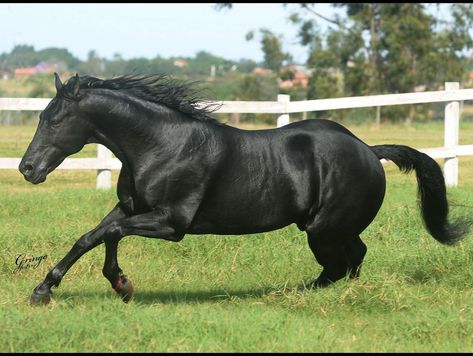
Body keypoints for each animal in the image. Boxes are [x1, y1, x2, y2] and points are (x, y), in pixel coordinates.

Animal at [19, 73, 468, 306]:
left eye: (54, 119)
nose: (27, 169)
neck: (160, 145)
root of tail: (370, 151)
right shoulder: (129, 209)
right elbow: (91, 236)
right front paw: (47, 290)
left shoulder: (171, 223)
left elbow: (107, 234)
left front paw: (120, 284)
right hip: (333, 229)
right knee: (353, 258)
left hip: (323, 229)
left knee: (341, 262)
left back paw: (297, 294)